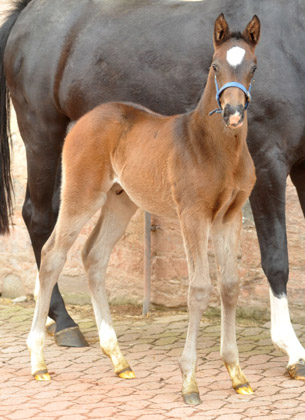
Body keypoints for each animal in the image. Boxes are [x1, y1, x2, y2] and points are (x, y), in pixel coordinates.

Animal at [27, 14, 258, 406]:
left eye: (253, 67)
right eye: (214, 65)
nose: (233, 113)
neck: (214, 147)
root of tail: (83, 120)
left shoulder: (229, 218)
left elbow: (229, 285)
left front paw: (237, 374)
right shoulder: (193, 215)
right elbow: (199, 289)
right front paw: (189, 382)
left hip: (121, 201)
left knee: (94, 256)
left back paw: (119, 360)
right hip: (82, 195)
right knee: (53, 253)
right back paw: (40, 362)